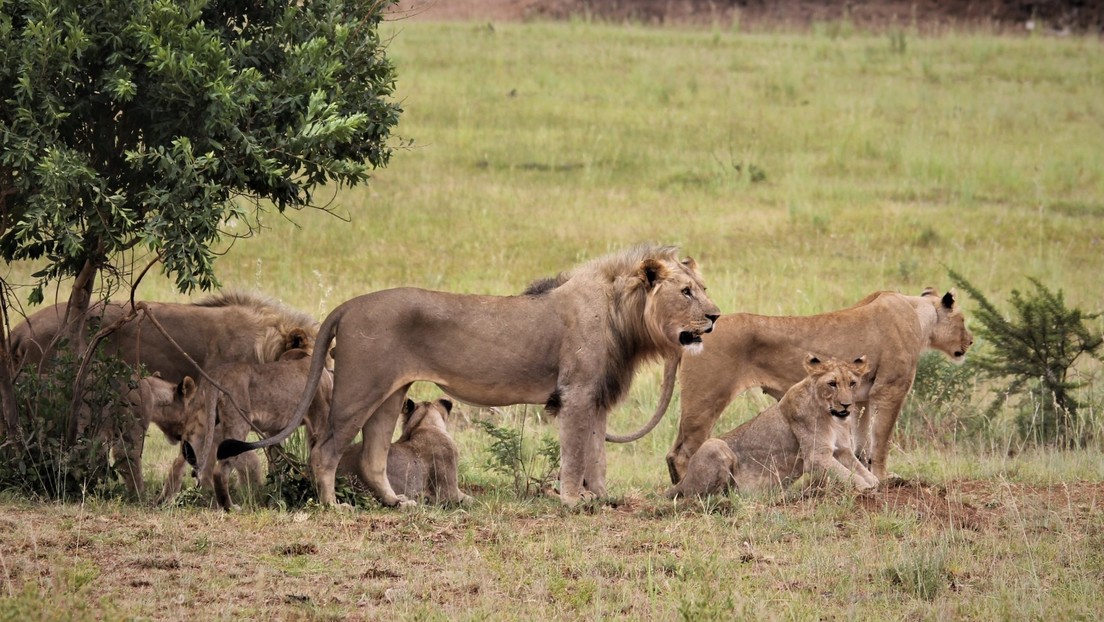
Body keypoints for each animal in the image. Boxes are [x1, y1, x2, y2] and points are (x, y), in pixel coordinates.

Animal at [666, 357, 874, 499]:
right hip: (714, 445)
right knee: (705, 496)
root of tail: (683, 481)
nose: (846, 405)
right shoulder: (816, 456)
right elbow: (848, 475)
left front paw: (876, 484)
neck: (831, 417)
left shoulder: (843, 450)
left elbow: (861, 470)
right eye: (832, 384)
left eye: (852, 383)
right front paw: (866, 489)